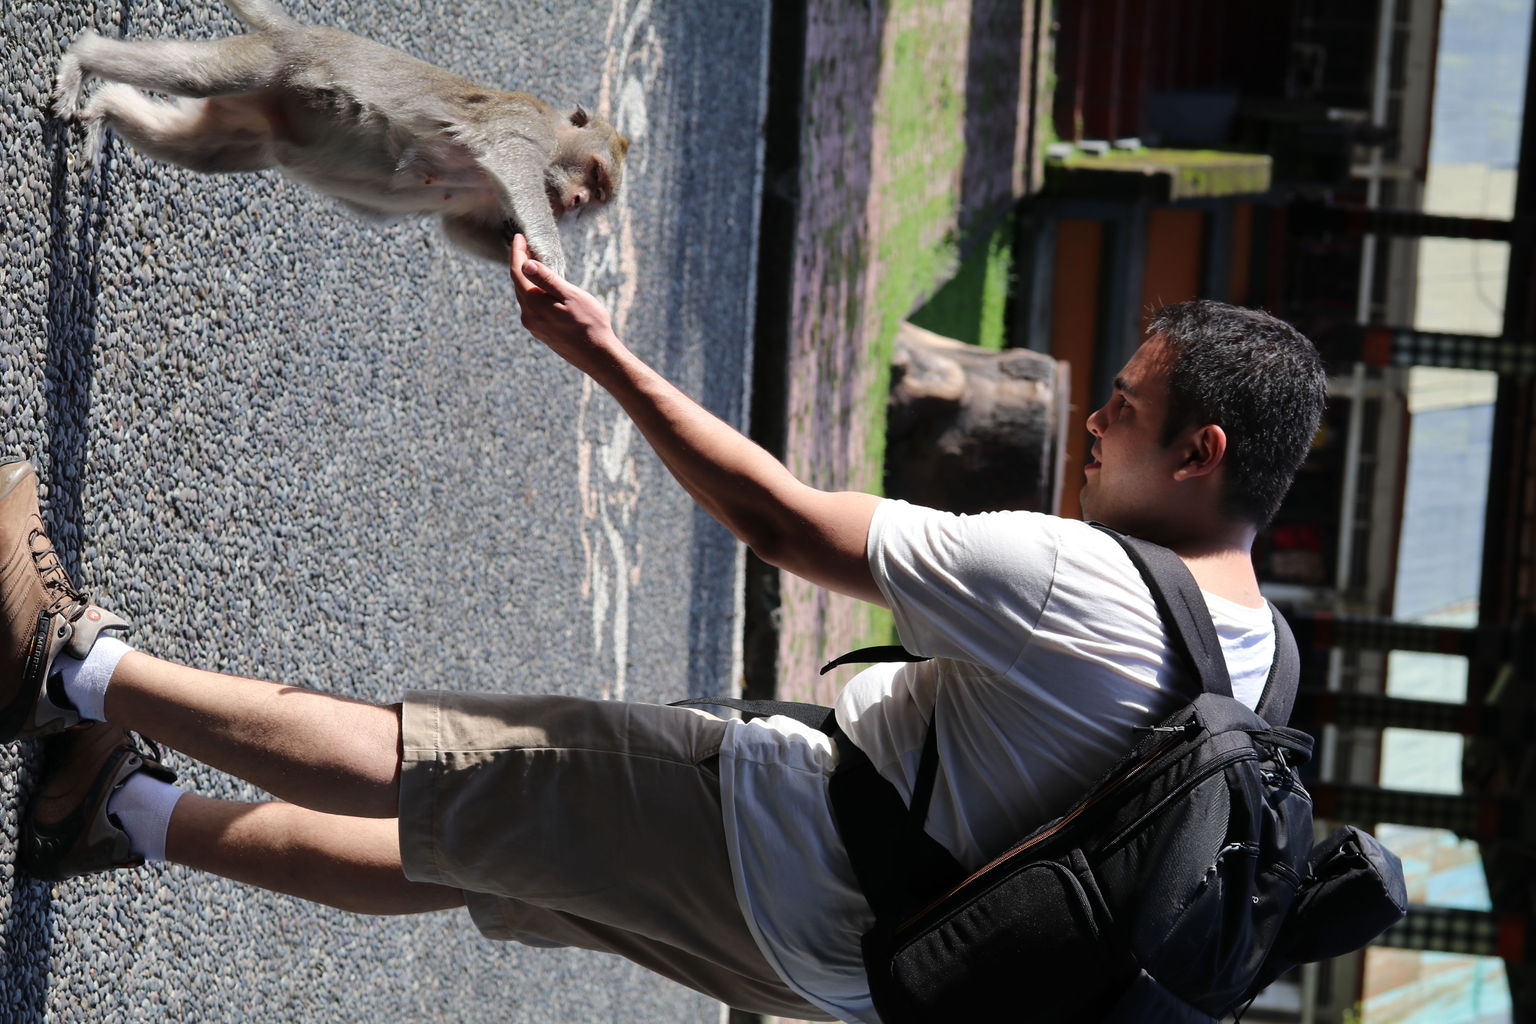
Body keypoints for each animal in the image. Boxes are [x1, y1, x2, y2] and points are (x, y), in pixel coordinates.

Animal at [51, 0, 629, 277]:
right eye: (595, 174)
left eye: (598, 196)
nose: (578, 202)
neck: (555, 137)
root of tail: (299, 32)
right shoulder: (521, 127)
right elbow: (510, 161)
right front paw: (555, 262)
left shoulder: (482, 203)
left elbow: (459, 228)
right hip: (273, 63)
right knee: (196, 76)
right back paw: (83, 59)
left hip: (254, 119)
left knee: (204, 151)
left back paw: (104, 108)